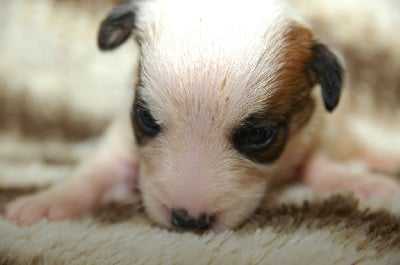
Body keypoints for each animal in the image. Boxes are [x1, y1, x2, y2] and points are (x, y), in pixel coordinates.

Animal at [6, 0, 400, 231]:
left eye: (259, 136)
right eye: (145, 118)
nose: (188, 220)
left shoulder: (315, 131)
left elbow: (322, 164)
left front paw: (364, 183)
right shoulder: (122, 138)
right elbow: (94, 171)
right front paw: (47, 201)